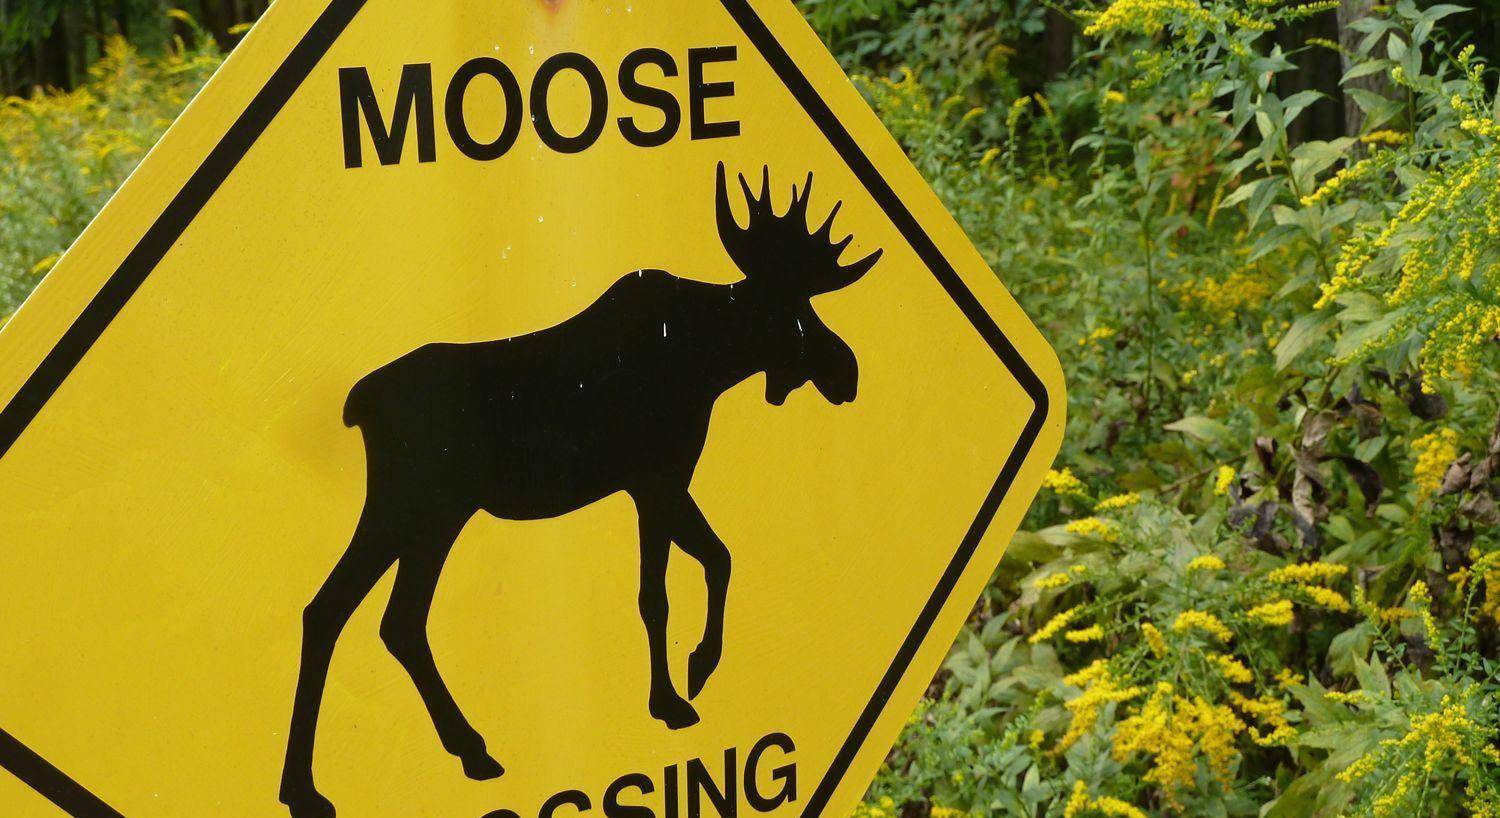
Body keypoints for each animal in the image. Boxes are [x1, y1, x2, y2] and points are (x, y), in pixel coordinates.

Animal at [279, 163, 881, 818]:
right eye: (794, 311)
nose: (847, 371)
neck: (711, 361)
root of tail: (358, 406)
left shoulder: (656, 482)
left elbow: (703, 565)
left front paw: (686, 679)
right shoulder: (658, 478)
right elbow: (669, 587)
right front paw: (681, 689)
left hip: (424, 516)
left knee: (369, 615)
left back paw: (415, 762)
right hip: (417, 507)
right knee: (360, 613)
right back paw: (354, 776)